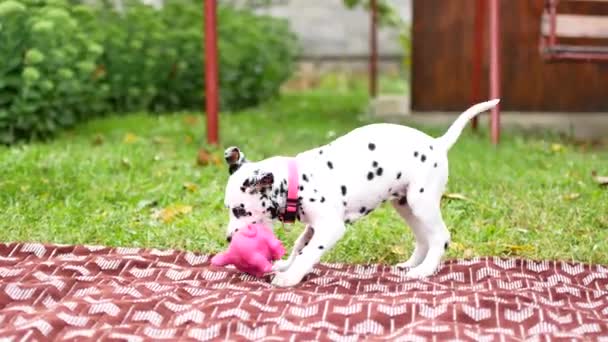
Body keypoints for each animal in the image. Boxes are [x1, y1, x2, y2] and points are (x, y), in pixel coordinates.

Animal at [223, 98, 498, 286]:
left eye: (239, 211)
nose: (228, 239)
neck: (296, 181)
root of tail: (437, 143)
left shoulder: (330, 227)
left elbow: (308, 253)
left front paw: (290, 277)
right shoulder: (313, 226)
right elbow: (300, 246)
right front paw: (286, 266)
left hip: (422, 202)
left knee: (440, 237)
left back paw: (424, 270)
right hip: (406, 205)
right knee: (424, 238)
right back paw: (411, 264)